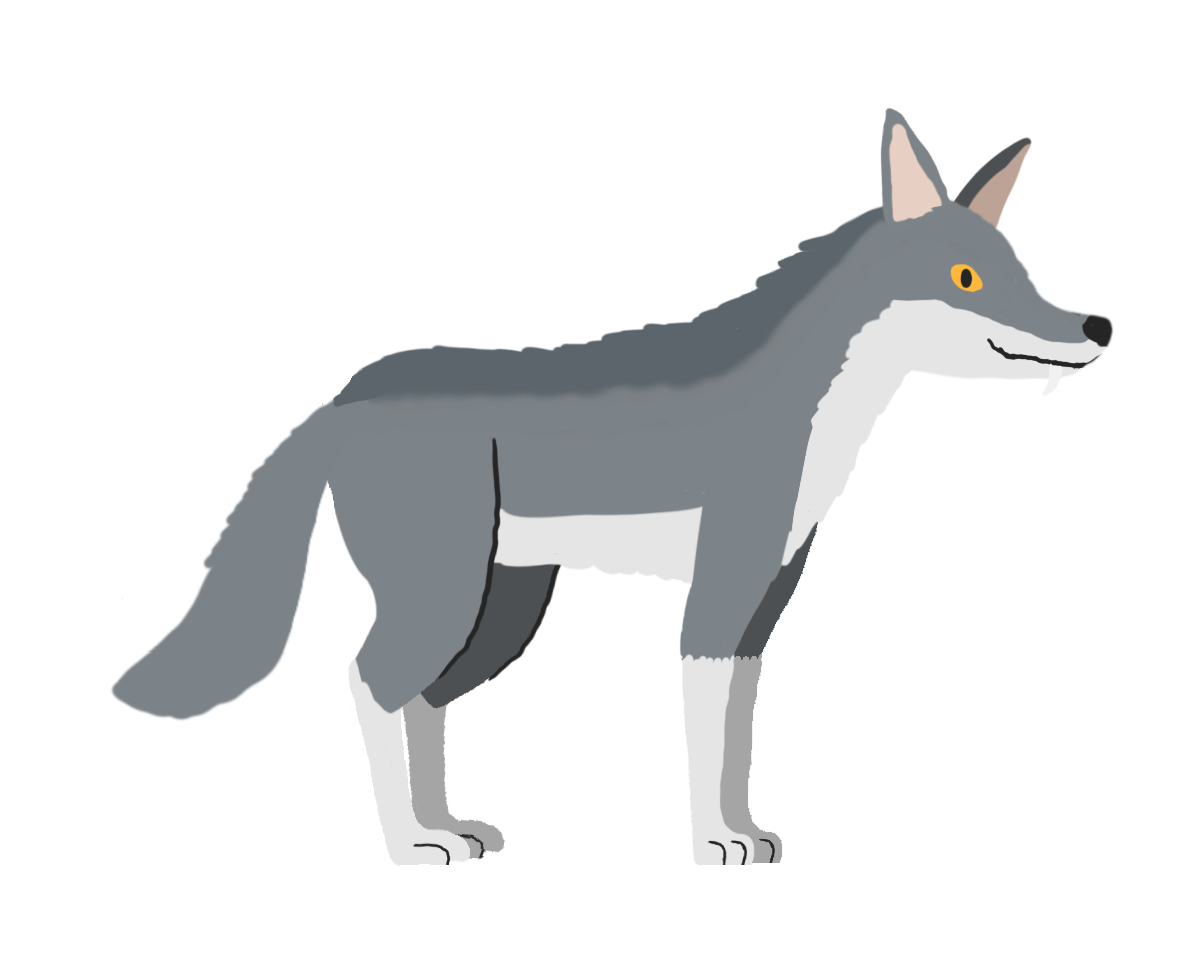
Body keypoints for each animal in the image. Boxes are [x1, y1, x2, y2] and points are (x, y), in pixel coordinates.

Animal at [110, 107, 1112, 864]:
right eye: (967, 277)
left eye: (1025, 273)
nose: (1095, 326)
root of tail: (343, 395)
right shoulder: (715, 600)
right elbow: (704, 741)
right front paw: (712, 844)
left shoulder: (762, 606)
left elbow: (739, 743)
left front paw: (747, 832)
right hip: (443, 599)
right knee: (367, 682)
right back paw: (409, 845)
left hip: (498, 611)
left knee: (425, 703)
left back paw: (449, 827)